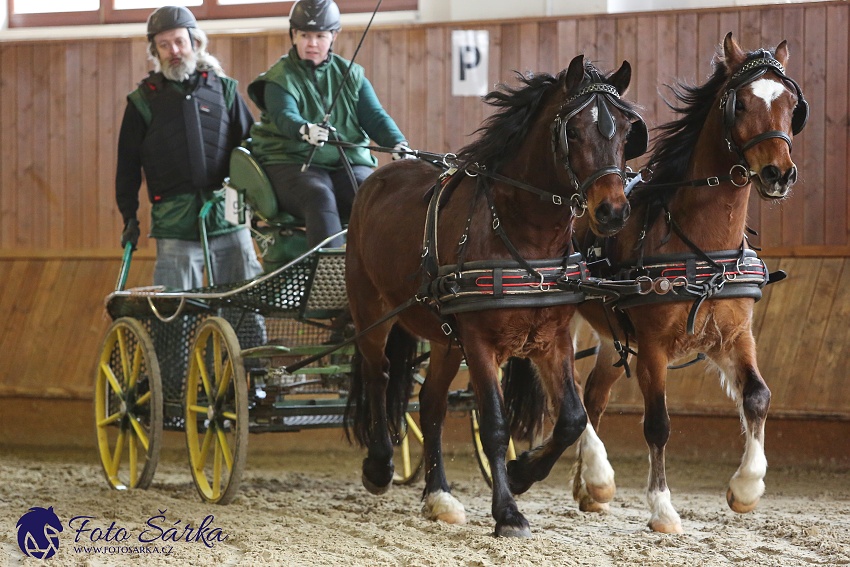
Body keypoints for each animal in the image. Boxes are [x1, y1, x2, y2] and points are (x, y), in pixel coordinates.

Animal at [342, 54, 644, 536]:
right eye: (574, 132)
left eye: (625, 131)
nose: (612, 211)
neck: (522, 232)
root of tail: (380, 175)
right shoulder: (480, 342)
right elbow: (495, 426)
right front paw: (508, 512)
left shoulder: (552, 340)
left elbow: (572, 419)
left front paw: (522, 474)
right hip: (373, 311)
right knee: (379, 374)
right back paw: (381, 464)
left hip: (446, 339)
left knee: (430, 404)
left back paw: (438, 495)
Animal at [568, 33, 804, 536]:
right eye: (740, 104)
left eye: (791, 104)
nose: (778, 173)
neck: (700, 244)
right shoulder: (654, 348)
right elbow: (658, 423)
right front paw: (662, 508)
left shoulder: (735, 337)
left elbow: (758, 397)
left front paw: (746, 488)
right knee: (567, 389)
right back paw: (595, 476)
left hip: (612, 337)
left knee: (592, 396)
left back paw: (590, 486)